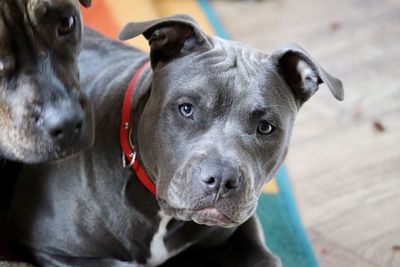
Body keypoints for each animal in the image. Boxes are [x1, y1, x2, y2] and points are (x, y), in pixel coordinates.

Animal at [9, 15, 342, 267]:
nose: (221, 179)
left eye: (265, 127)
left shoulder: (242, 231)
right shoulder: (58, 250)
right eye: (186, 108)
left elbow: (268, 259)